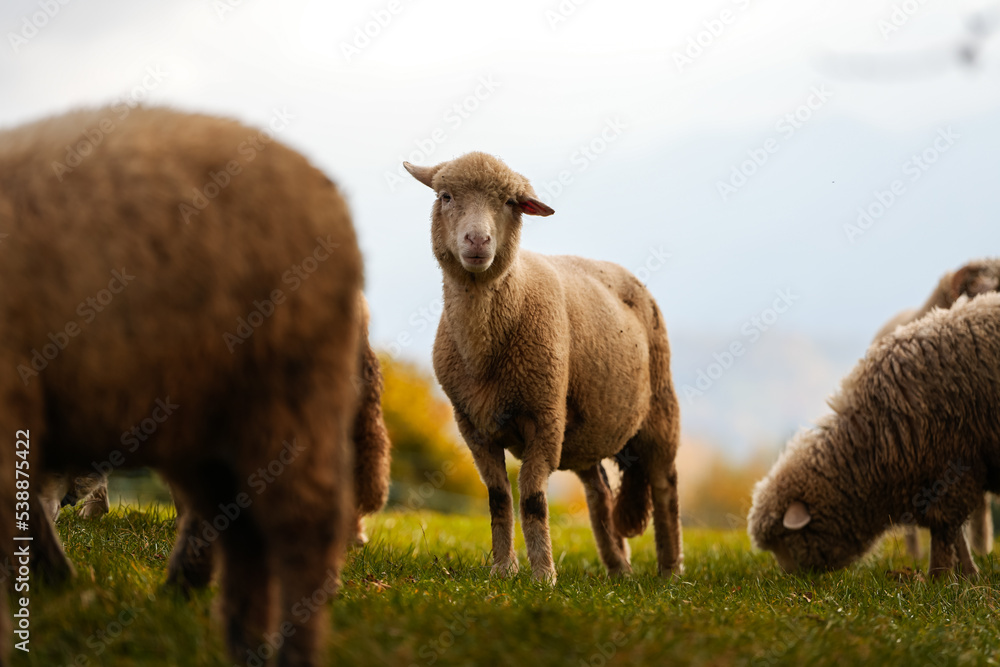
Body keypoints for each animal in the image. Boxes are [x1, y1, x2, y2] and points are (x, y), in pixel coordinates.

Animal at [403, 152, 682, 583]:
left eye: (510, 202)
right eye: (445, 196)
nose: (477, 241)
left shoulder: (546, 417)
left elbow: (533, 498)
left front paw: (542, 576)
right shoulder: (472, 426)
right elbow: (499, 498)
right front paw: (503, 569)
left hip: (659, 408)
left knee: (665, 485)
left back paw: (669, 571)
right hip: (585, 429)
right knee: (599, 492)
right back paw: (618, 568)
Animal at [748, 291, 1000, 579]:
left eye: (784, 540)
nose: (790, 577)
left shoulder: (949, 469)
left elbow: (945, 531)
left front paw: (940, 576)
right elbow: (953, 532)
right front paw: (965, 574)